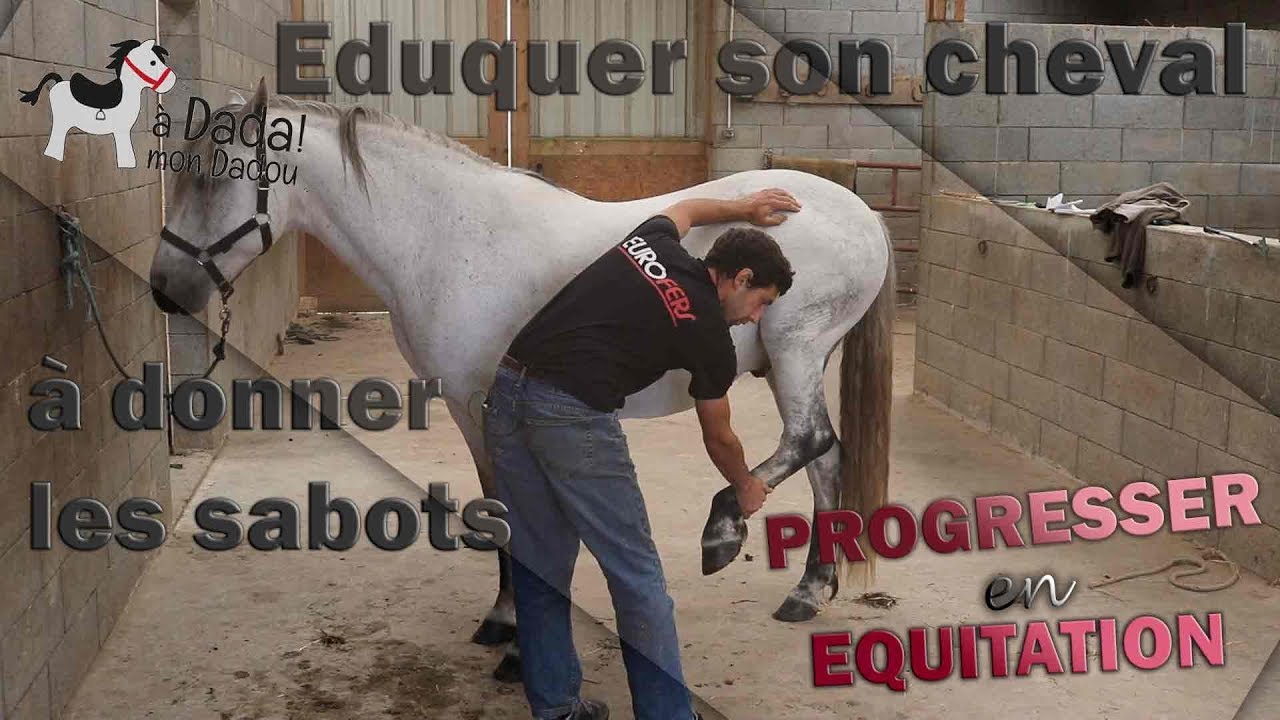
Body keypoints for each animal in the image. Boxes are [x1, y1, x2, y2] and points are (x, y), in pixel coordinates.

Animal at [19, 39, 176, 168]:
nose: (172, 80)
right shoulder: (122, 132)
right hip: (61, 122)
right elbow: (127, 156)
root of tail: (59, 81)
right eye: (153, 62)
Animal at [148, 78, 894, 681]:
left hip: (795, 350)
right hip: (797, 362)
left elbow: (510, 519)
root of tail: (862, 212)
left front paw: (515, 643)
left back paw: (726, 531)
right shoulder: (469, 408)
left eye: (214, 178)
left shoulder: (484, 403)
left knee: (809, 442)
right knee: (825, 458)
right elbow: (494, 511)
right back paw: (808, 590)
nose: (163, 288)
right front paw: (505, 620)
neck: (451, 239)